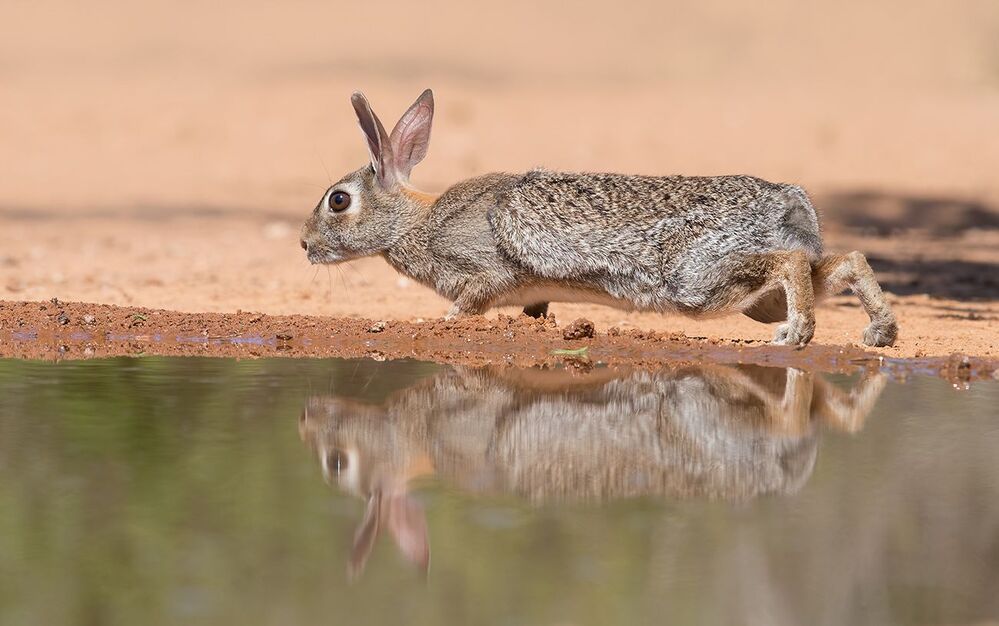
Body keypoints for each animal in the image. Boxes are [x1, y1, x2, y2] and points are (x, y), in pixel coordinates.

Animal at [299, 89, 898, 347]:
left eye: (338, 201)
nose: (304, 245)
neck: (412, 222)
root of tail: (789, 203)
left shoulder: (481, 271)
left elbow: (470, 301)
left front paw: (444, 323)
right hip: (753, 299)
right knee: (844, 262)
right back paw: (880, 332)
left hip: (700, 279)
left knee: (790, 262)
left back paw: (799, 335)